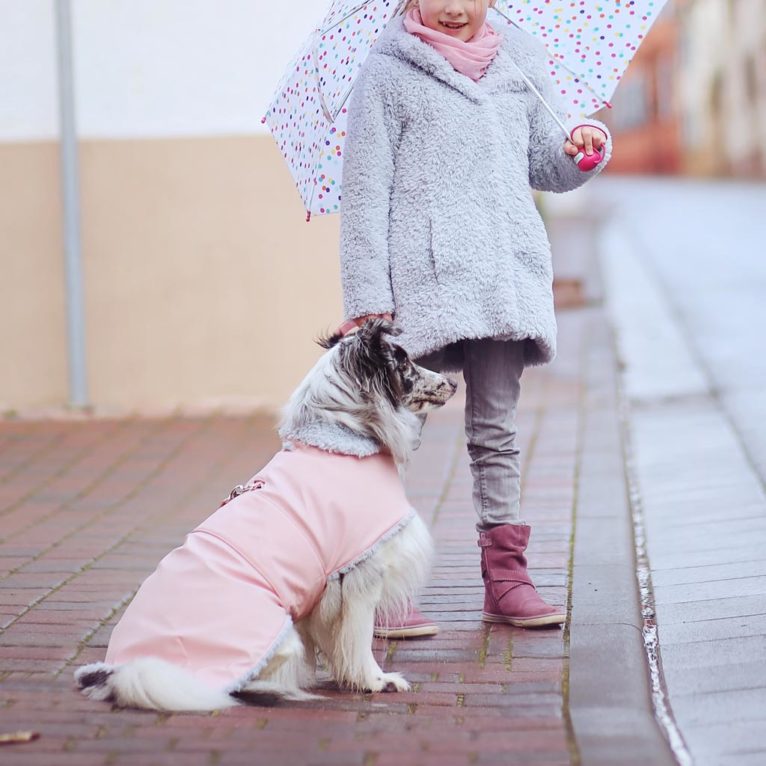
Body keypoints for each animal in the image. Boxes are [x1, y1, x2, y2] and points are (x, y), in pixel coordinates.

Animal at [75, 320, 456, 712]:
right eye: (403, 361)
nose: (453, 383)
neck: (341, 441)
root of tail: (123, 670)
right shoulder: (363, 572)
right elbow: (359, 638)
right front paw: (375, 681)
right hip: (279, 636)